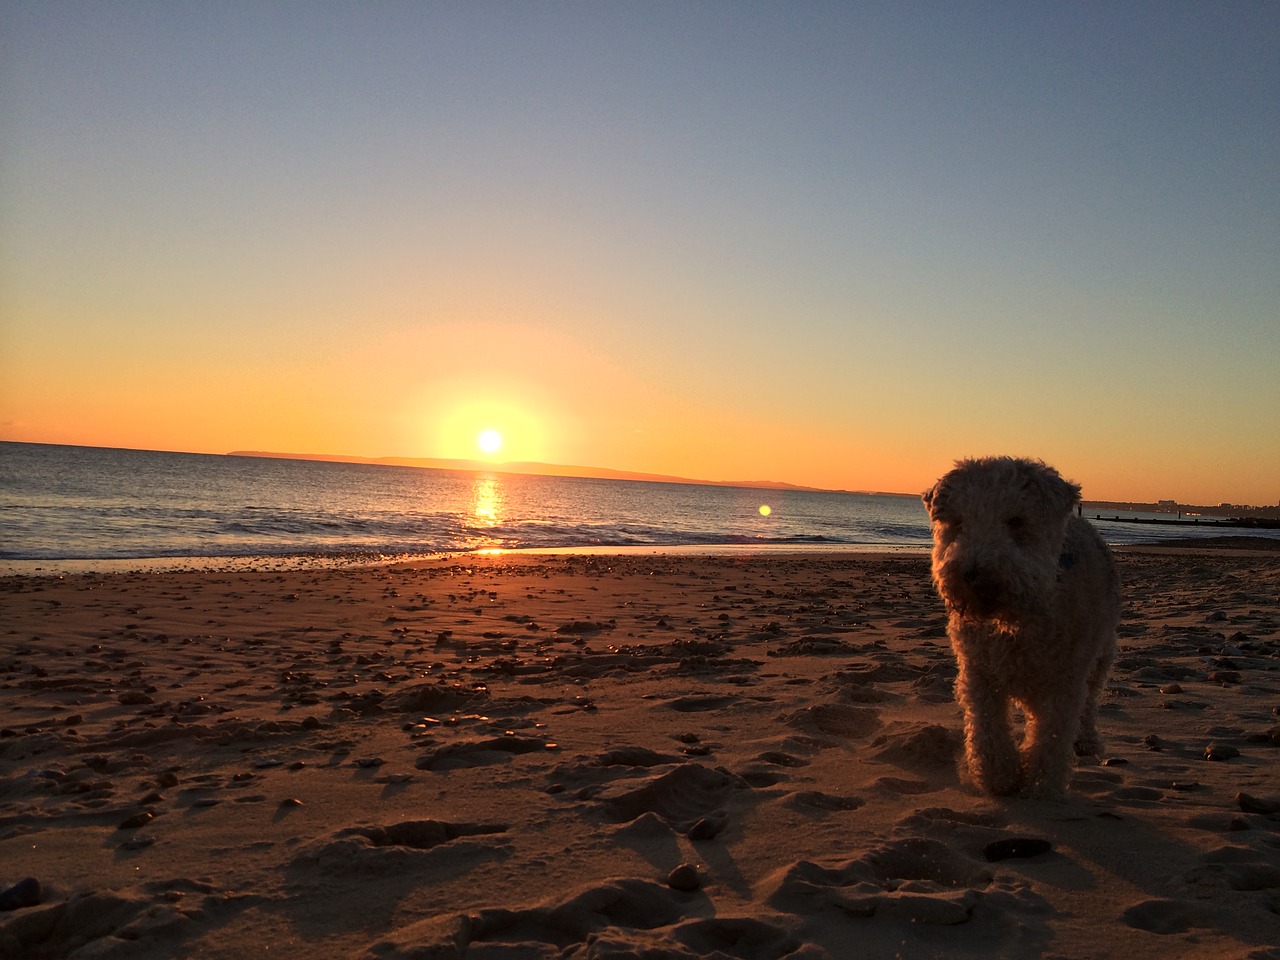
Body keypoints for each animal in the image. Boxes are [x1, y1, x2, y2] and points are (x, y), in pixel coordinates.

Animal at [921, 455, 1121, 798]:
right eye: (957, 522)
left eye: (1016, 521)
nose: (973, 575)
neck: (1017, 619)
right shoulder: (980, 673)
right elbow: (988, 729)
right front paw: (999, 776)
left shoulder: (1065, 679)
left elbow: (1052, 733)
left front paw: (1042, 783)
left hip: (1101, 654)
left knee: (1090, 701)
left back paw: (1086, 741)